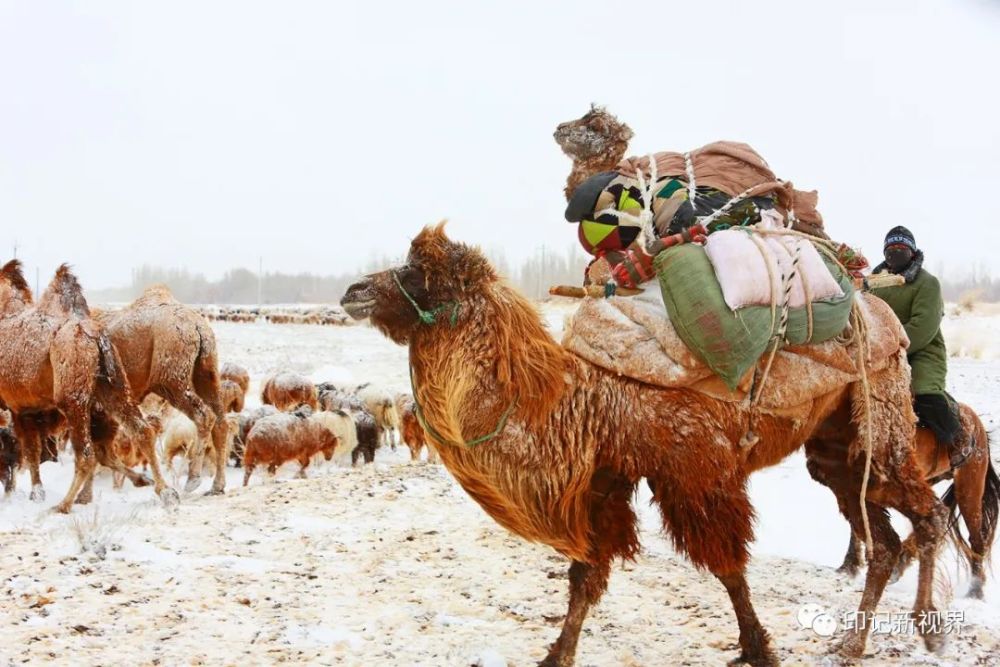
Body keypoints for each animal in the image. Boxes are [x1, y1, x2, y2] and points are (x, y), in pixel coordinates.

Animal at [0, 260, 171, 512]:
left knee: (87, 454)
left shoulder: (20, 407)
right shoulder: (29, 409)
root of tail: (96, 337)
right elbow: (33, 451)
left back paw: (63, 505)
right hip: (114, 385)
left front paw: (36, 495)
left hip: (73, 397)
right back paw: (164, 490)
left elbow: (30, 451)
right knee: (140, 432)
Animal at [93, 286, 228, 496]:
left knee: (204, 414)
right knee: (220, 419)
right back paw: (217, 486)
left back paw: (193, 479)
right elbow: (102, 453)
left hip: (170, 376)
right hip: (207, 367)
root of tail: (197, 327)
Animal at [340, 227, 948, 664]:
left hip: (880, 406)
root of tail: (878, 307)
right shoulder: (604, 486)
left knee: (927, 512)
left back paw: (925, 630)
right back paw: (855, 641)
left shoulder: (695, 470)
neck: (577, 401)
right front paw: (556, 655)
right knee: (883, 534)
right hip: (834, 443)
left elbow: (728, 567)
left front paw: (758, 649)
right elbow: (584, 579)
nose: (353, 292)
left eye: (416, 273)